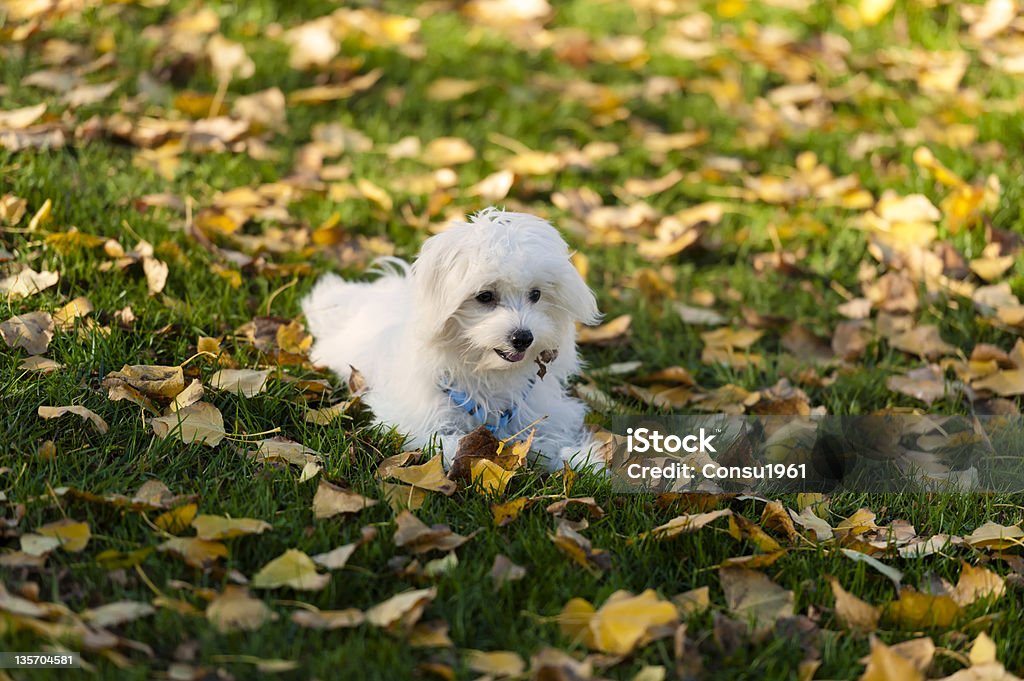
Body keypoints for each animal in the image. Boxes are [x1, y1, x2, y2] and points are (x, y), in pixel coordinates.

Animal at [303, 206, 606, 471]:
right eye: (485, 296)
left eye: (536, 295)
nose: (523, 338)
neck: (485, 370)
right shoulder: (411, 420)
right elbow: (448, 444)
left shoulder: (541, 412)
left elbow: (548, 438)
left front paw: (582, 461)